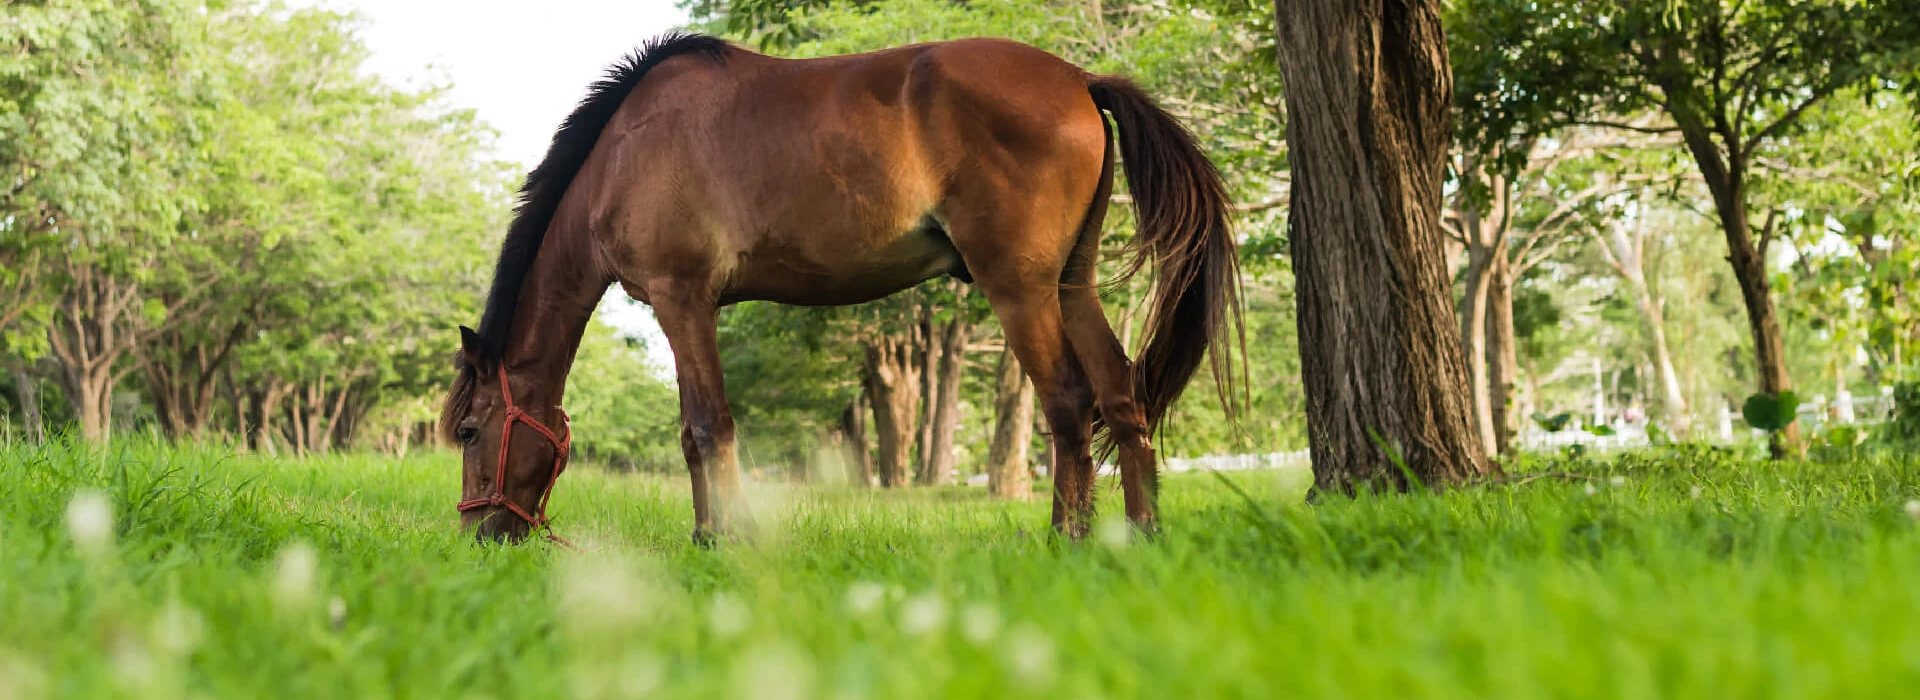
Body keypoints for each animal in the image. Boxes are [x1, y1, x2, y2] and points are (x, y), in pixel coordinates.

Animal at [440, 32, 1241, 544]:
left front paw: (726, 541)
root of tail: (1080, 79)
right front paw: (703, 535)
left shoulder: (683, 300)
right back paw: (1138, 536)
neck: (623, 153)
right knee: (1121, 397)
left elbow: (709, 424)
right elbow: (692, 435)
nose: (482, 536)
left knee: (1070, 403)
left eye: (472, 431)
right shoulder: (685, 310)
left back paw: (1066, 540)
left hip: (1020, 288)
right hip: (1071, 285)